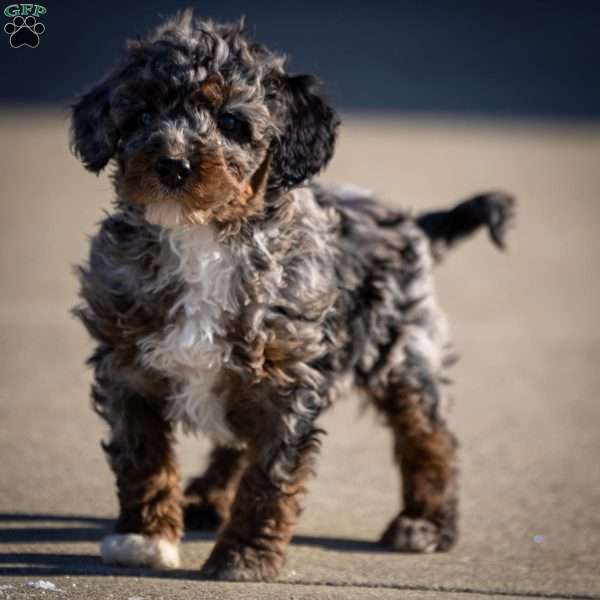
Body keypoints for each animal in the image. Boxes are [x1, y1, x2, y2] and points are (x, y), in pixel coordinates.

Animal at [72, 9, 516, 580]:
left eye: (232, 123)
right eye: (142, 113)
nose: (172, 165)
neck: (201, 237)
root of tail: (413, 224)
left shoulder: (287, 377)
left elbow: (269, 476)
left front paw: (244, 555)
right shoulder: (128, 366)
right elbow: (143, 457)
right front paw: (143, 537)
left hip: (402, 353)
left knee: (430, 437)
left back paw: (425, 523)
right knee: (235, 438)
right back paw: (207, 499)